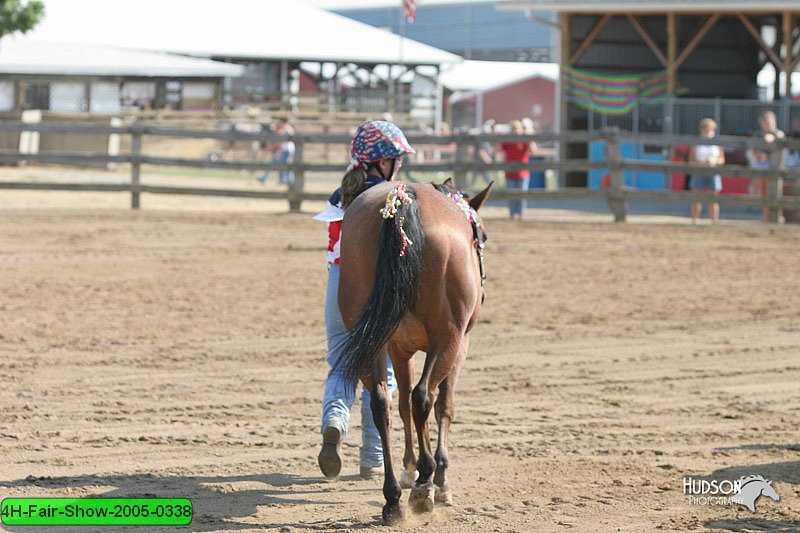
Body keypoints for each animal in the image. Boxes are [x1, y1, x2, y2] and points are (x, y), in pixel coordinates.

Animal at [334, 177, 490, 520]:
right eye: (482, 236)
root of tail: (404, 201)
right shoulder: (459, 346)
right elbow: (443, 405)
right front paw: (437, 478)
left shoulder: (398, 348)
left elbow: (403, 404)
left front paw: (409, 468)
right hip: (448, 340)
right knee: (424, 397)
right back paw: (426, 482)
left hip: (371, 342)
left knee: (383, 403)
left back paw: (393, 497)